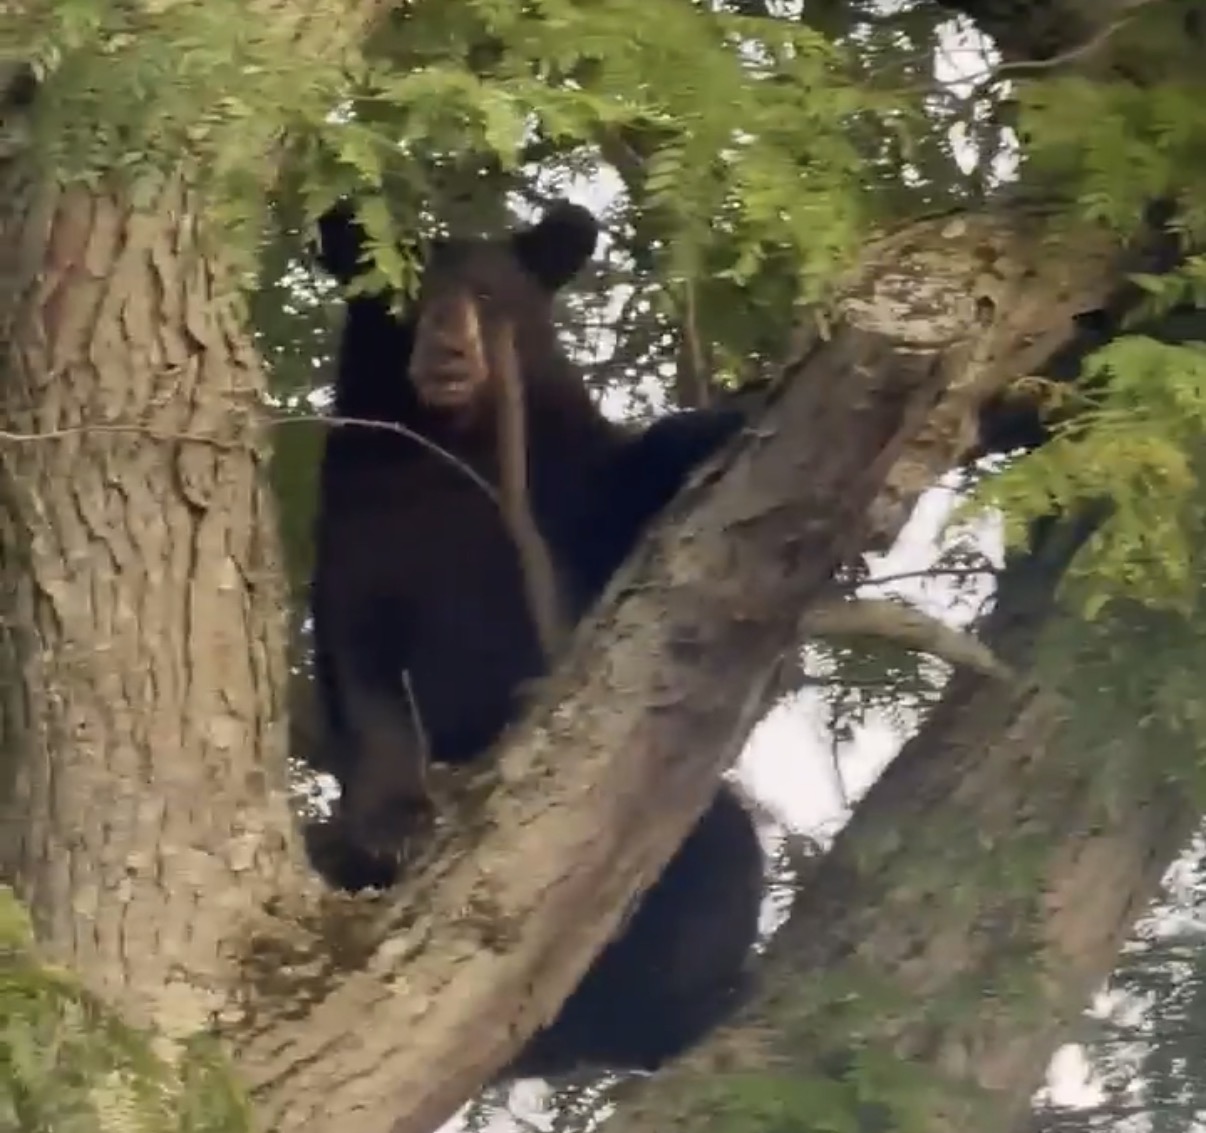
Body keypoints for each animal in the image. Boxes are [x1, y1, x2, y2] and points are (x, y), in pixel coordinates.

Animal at [303, 196, 765, 1080]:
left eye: (488, 295)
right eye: (401, 299)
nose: (448, 349)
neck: (455, 443)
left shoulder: (571, 488)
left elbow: (650, 476)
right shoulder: (358, 520)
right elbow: (364, 665)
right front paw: (391, 828)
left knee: (725, 852)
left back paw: (671, 1011)